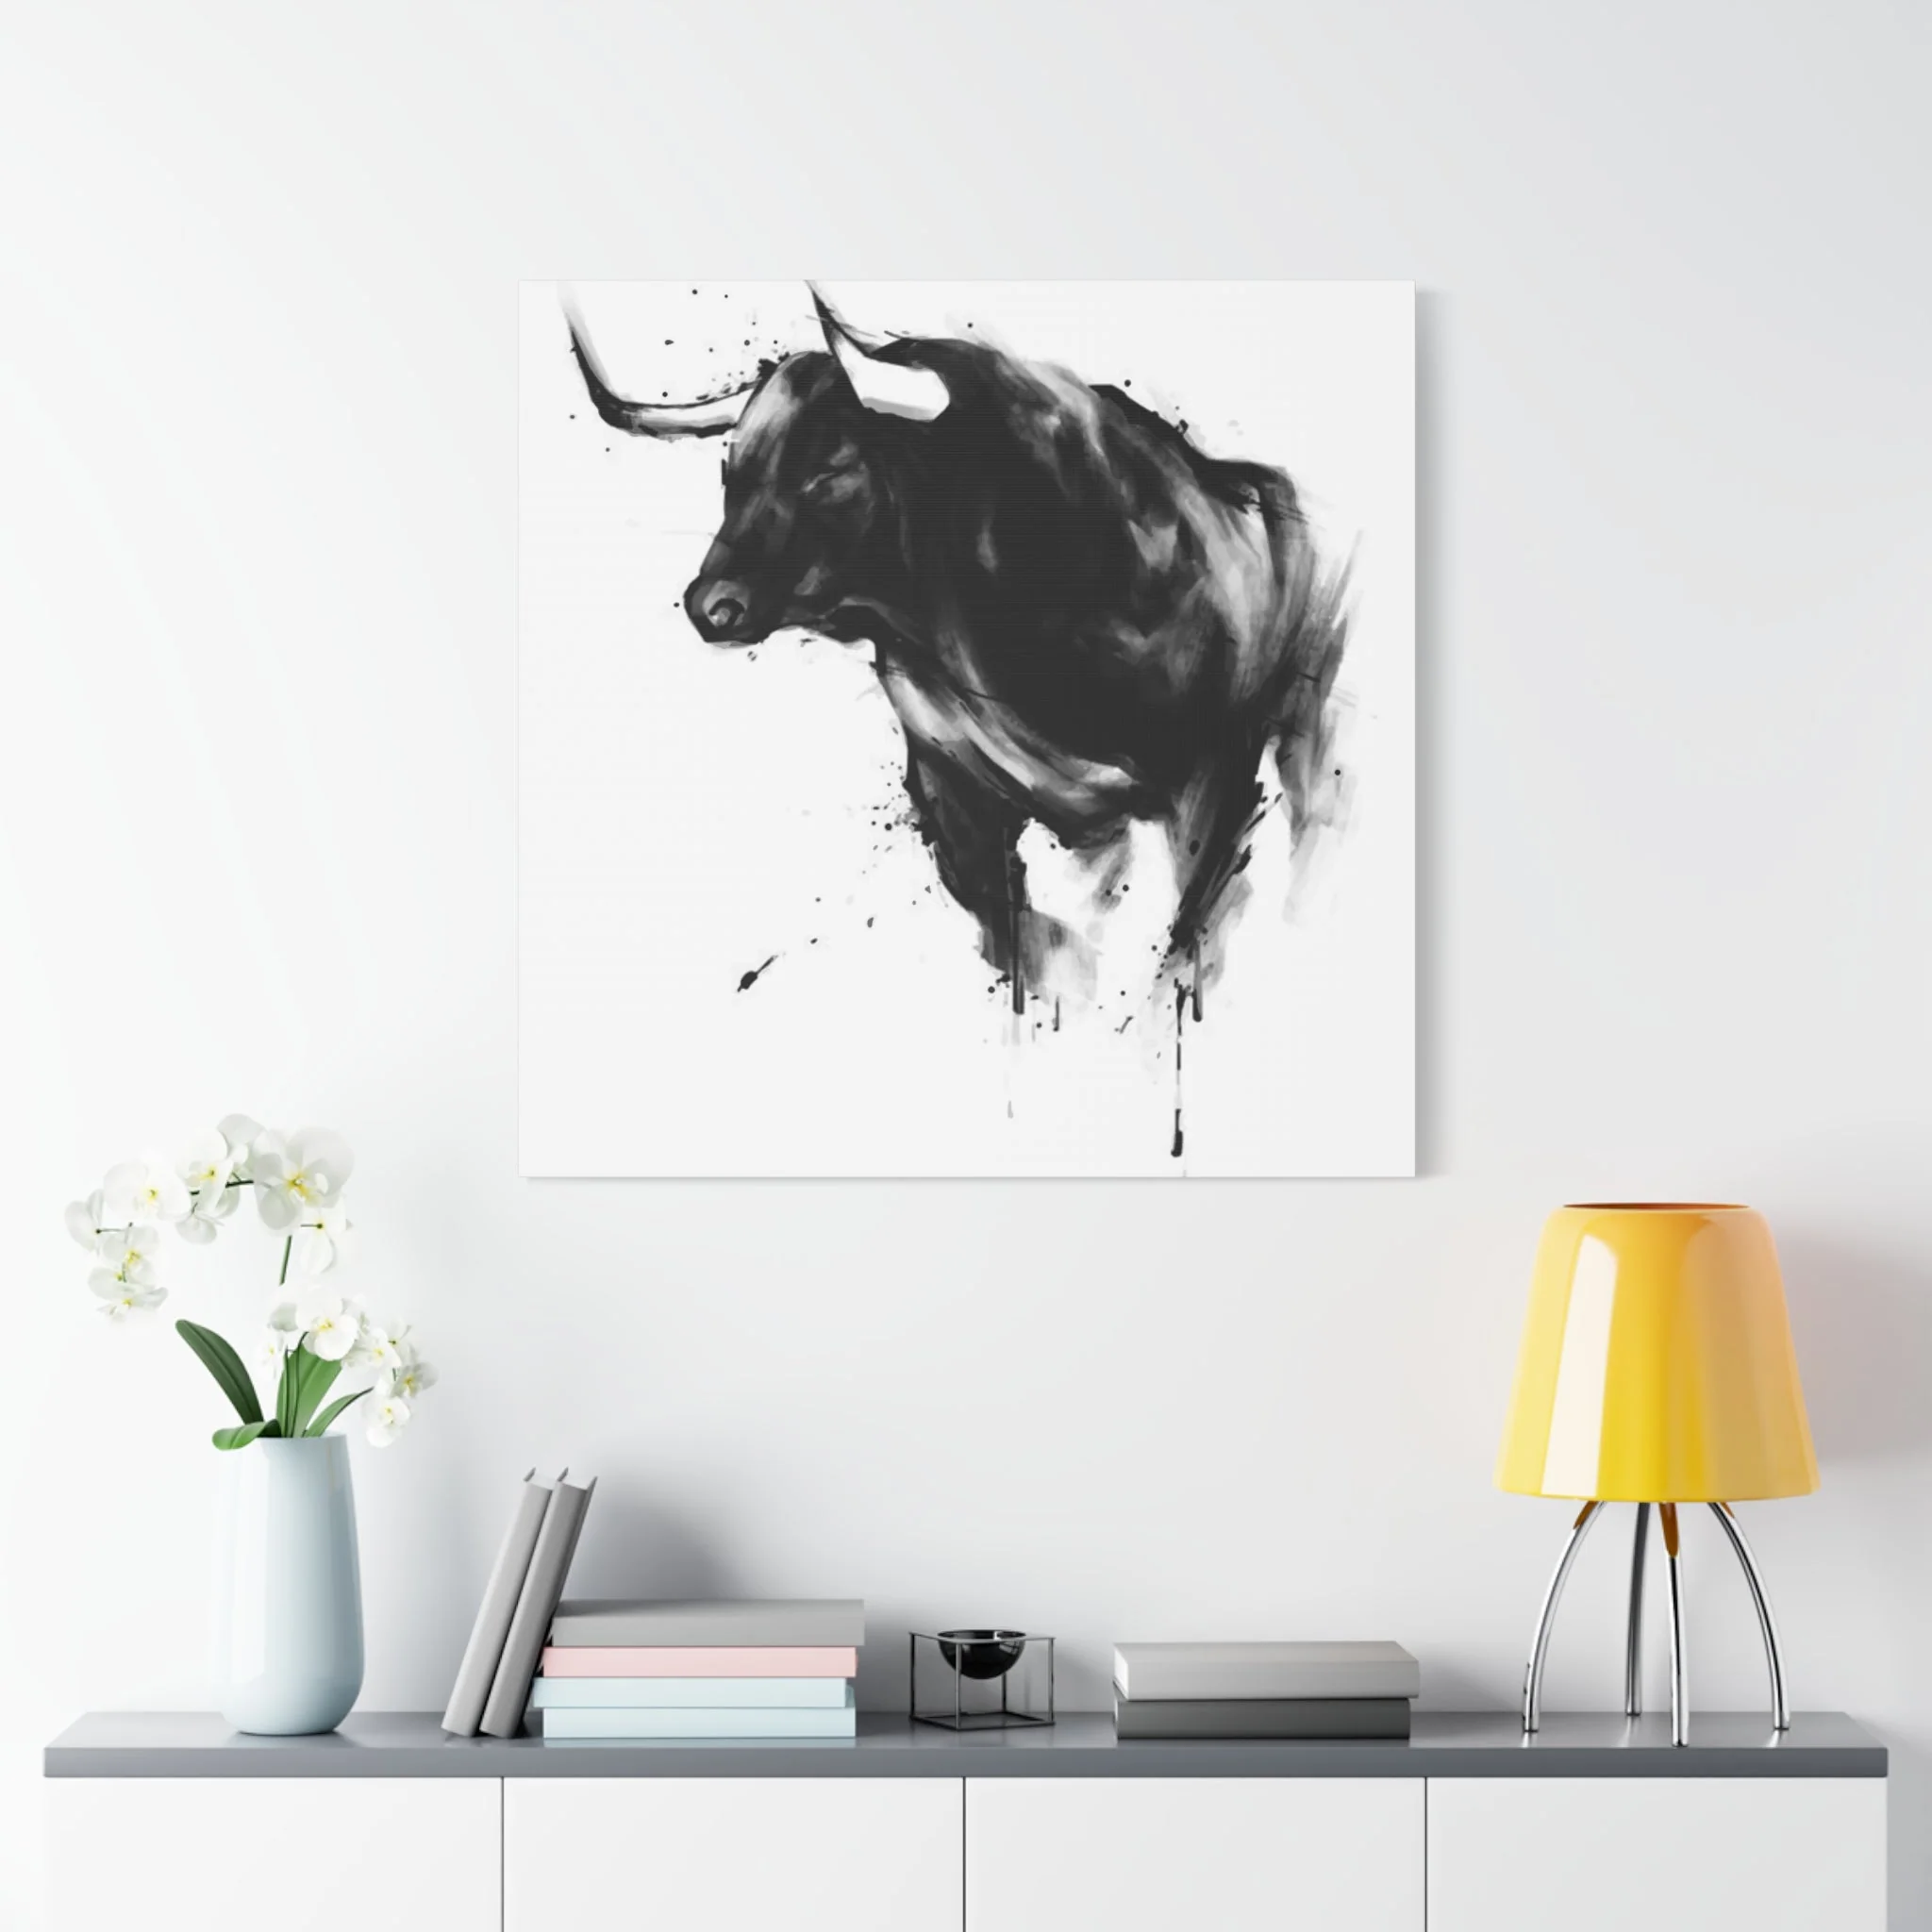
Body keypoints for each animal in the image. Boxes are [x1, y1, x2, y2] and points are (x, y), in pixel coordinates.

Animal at [562, 286, 1349, 1012]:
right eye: (732, 471)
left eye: (830, 467)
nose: (711, 604)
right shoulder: (956, 799)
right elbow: (1028, 953)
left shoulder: (1212, 786)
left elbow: (1179, 950)